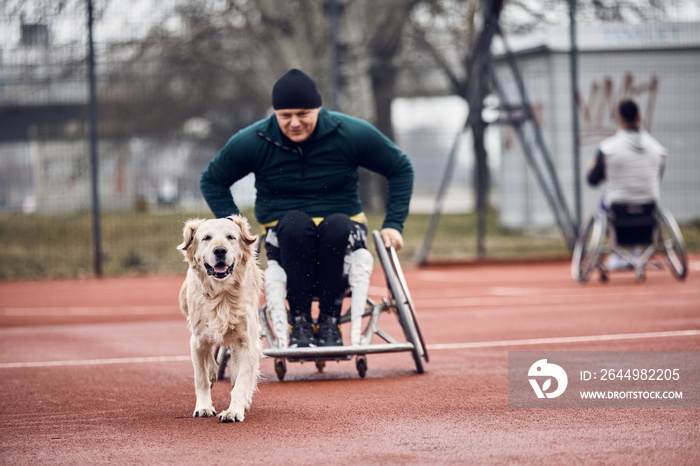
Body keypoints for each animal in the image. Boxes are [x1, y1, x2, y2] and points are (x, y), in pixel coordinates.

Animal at [176, 215, 264, 422]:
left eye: (231, 237)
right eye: (206, 238)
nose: (220, 250)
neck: (222, 294)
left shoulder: (248, 340)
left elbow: (241, 381)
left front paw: (234, 411)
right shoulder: (198, 340)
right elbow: (201, 378)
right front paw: (204, 407)